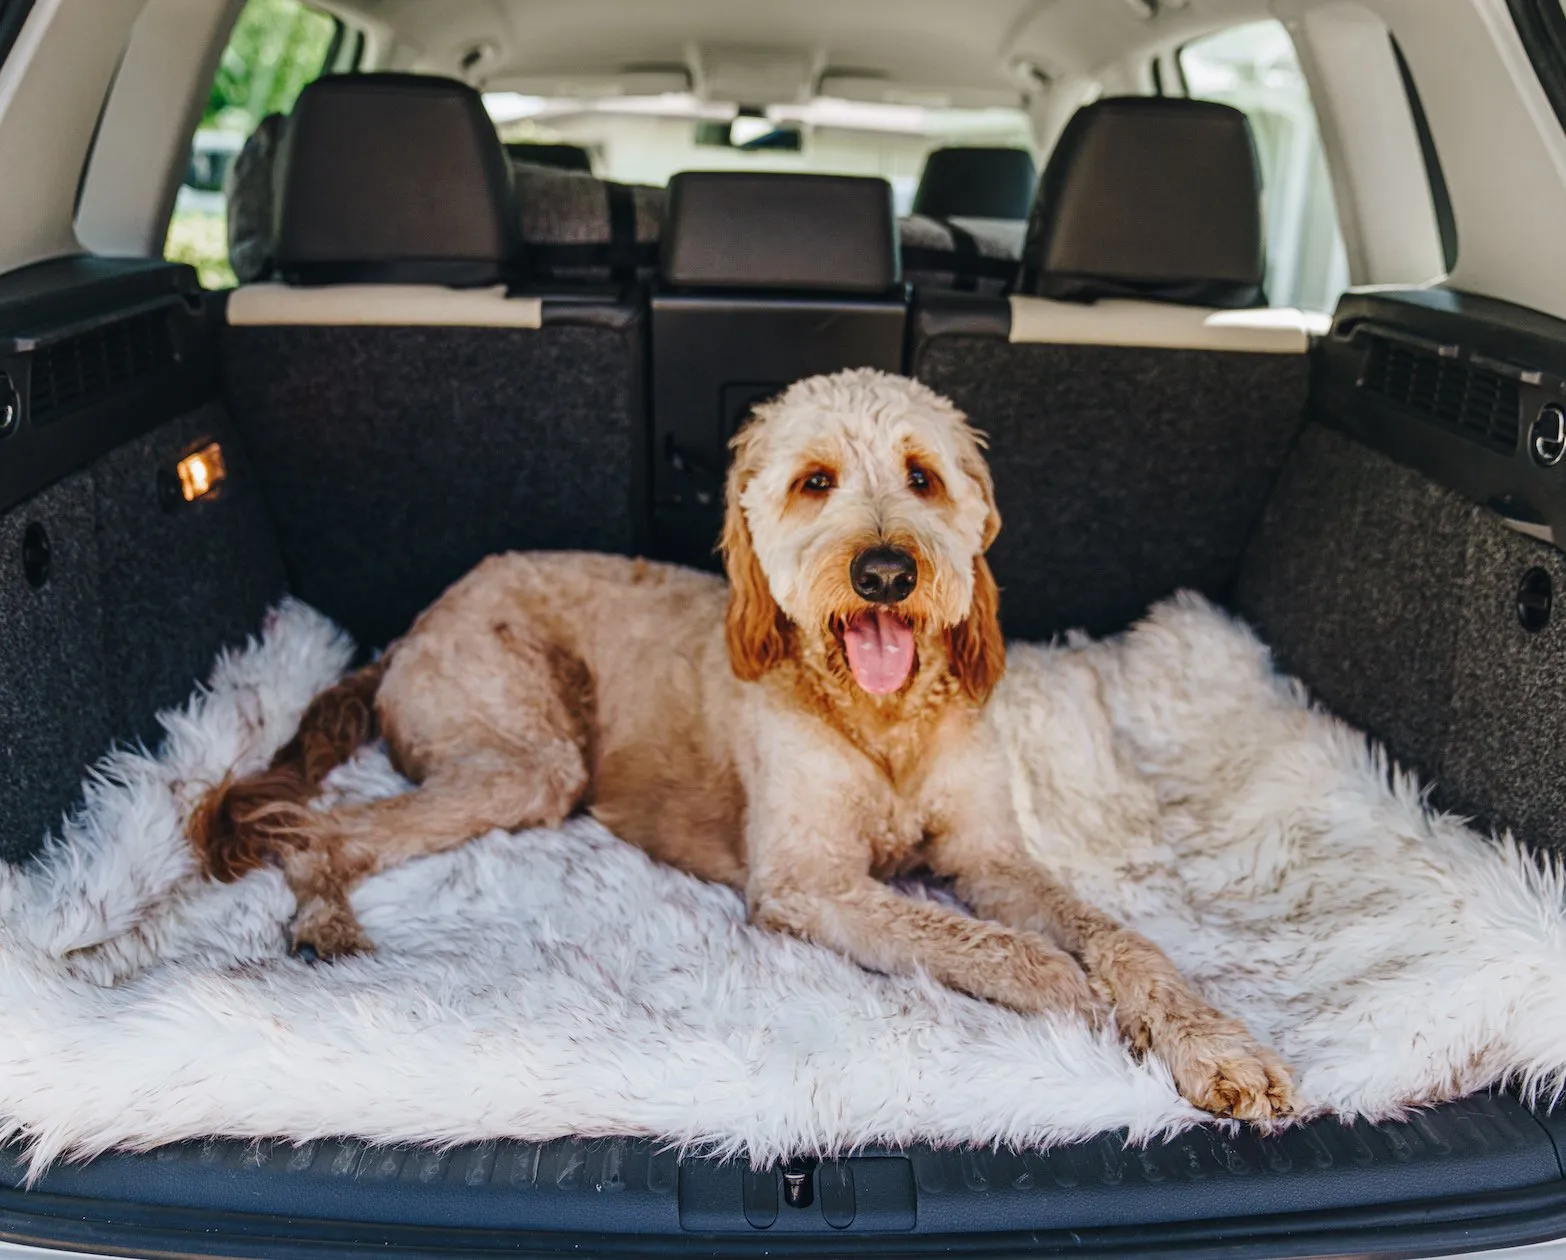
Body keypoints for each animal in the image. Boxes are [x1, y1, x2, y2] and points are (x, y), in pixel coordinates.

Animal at [192, 366, 1296, 1120]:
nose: (886, 572)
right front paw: (1069, 992)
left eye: (923, 476)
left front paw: (1213, 1043)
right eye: (815, 482)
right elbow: (983, 940)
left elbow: (1120, 936)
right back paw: (323, 912)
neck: (880, 719)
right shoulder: (807, 882)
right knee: (329, 830)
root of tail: (415, 626)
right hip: (530, 758)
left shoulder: (991, 855)